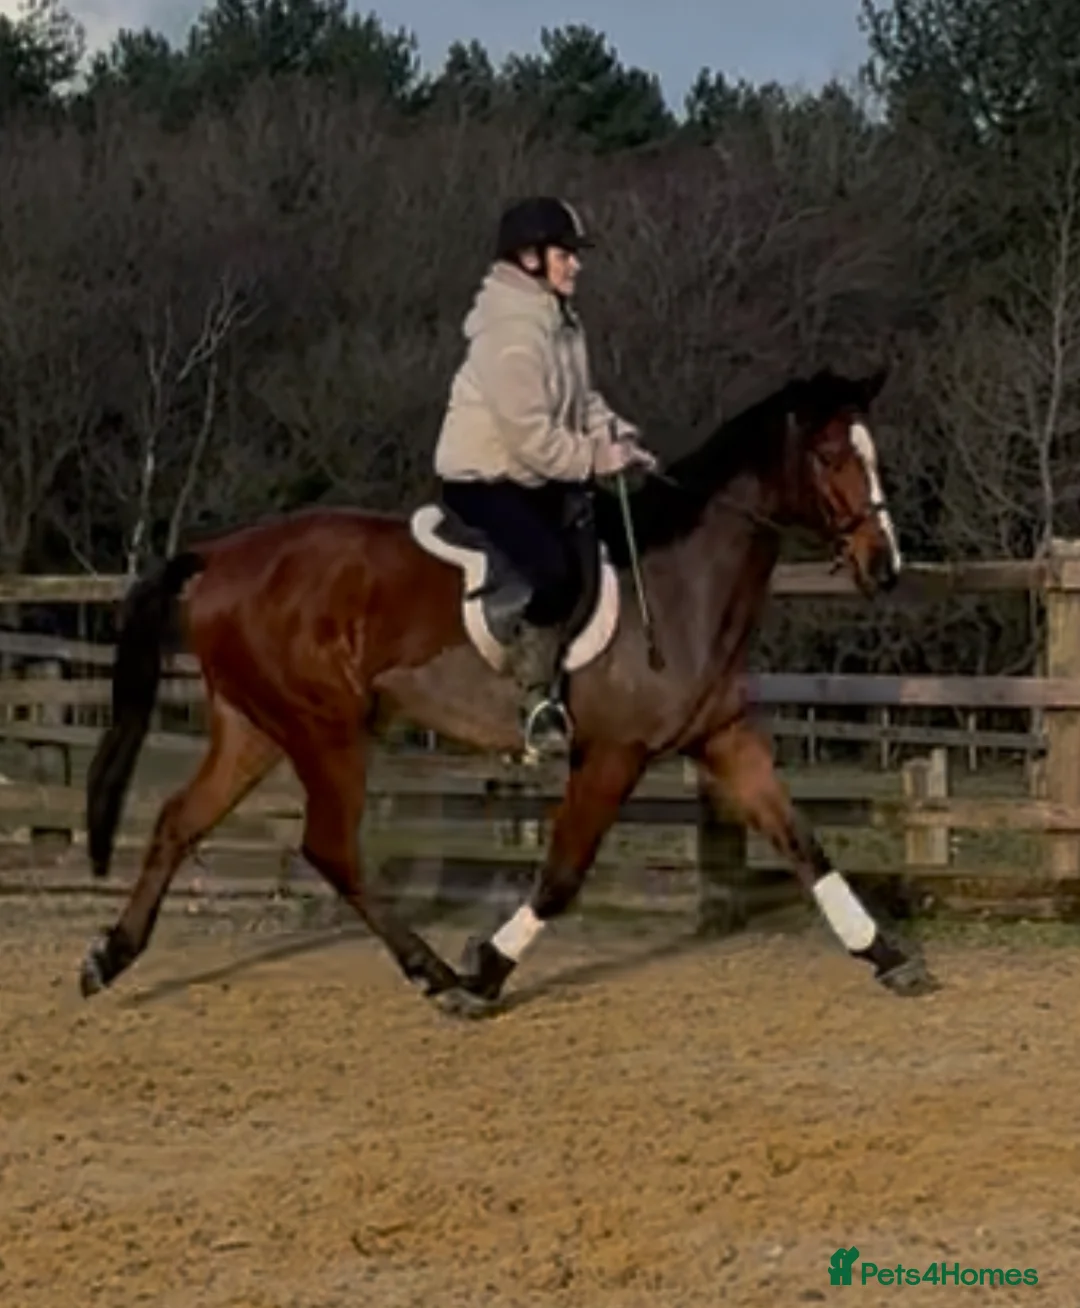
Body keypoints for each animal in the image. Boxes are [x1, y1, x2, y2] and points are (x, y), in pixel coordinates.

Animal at [79, 365, 940, 1015]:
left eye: (871, 453)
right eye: (829, 455)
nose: (884, 565)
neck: (681, 578)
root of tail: (222, 554)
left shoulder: (722, 737)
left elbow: (803, 843)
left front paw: (889, 956)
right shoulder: (611, 754)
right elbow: (561, 874)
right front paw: (485, 970)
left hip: (256, 727)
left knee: (179, 821)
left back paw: (110, 957)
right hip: (325, 729)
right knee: (329, 848)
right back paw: (431, 972)